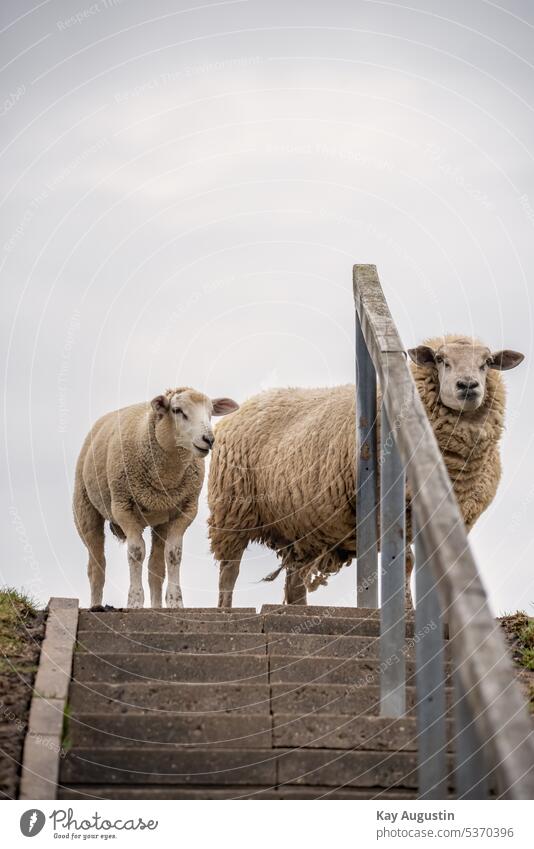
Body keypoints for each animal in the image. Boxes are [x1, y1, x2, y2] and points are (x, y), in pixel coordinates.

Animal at [73, 388, 239, 608]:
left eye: (211, 412)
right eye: (177, 410)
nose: (209, 439)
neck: (166, 477)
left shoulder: (186, 510)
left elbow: (174, 554)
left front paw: (176, 602)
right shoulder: (123, 507)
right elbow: (136, 552)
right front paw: (134, 601)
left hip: (160, 521)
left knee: (156, 569)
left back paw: (156, 605)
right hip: (85, 509)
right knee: (96, 565)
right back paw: (96, 605)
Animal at [208, 334, 524, 608]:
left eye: (487, 362)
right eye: (440, 359)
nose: (468, 386)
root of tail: (252, 401)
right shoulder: (391, 508)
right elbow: (405, 562)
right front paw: (407, 610)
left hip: (300, 524)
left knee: (294, 582)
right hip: (232, 509)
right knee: (229, 570)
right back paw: (225, 609)